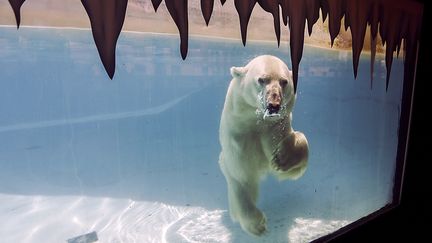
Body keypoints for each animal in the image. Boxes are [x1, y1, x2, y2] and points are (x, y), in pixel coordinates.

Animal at [219, 54, 308, 235]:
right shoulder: (238, 140)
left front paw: (281, 159)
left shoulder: (275, 128)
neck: (257, 122)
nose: (274, 105)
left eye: (284, 81)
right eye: (261, 79)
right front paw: (256, 224)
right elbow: (241, 176)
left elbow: (290, 168)